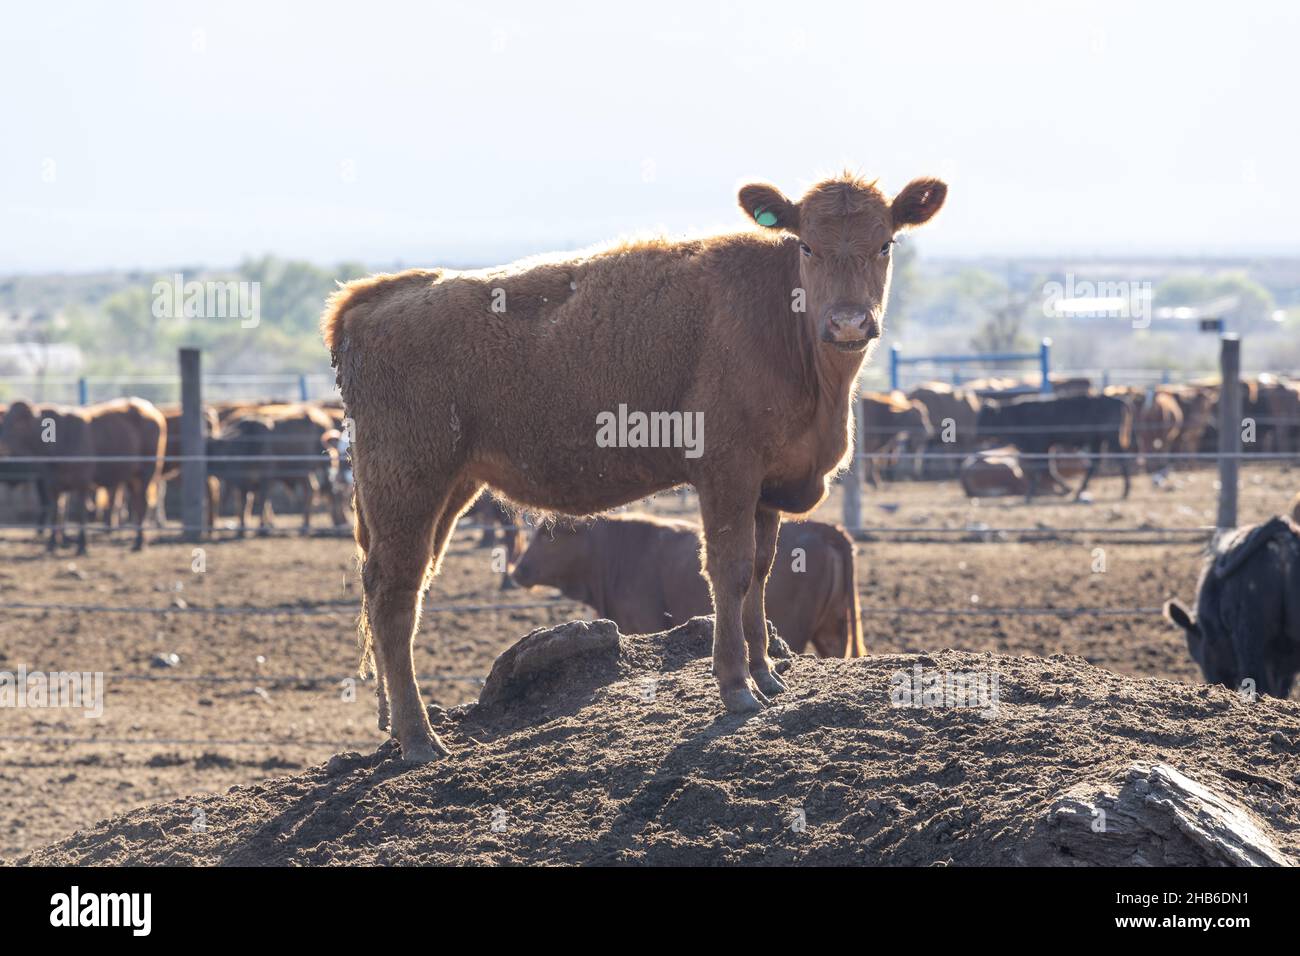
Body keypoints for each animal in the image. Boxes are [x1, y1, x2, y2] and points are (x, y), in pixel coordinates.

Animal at [977, 395, 1128, 502]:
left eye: (985, 416)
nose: (976, 432)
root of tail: (1118, 401)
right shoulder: (1046, 447)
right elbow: (1048, 469)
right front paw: (1066, 489)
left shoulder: (1040, 446)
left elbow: (1042, 469)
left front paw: (1029, 496)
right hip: (1097, 441)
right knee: (1094, 464)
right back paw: (1079, 492)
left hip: (1111, 438)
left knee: (1122, 459)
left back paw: (1125, 491)